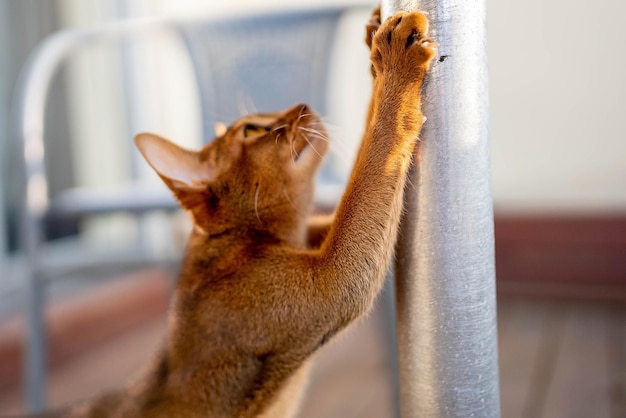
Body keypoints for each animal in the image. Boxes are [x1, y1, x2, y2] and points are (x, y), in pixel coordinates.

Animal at [41, 7, 436, 418]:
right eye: (250, 131)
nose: (302, 106)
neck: (244, 242)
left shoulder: (315, 230)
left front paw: (373, 33)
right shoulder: (331, 278)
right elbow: (374, 156)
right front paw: (395, 60)